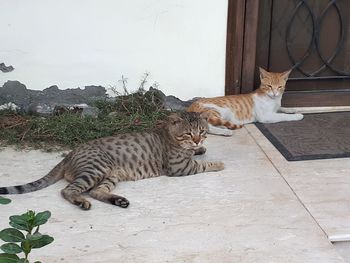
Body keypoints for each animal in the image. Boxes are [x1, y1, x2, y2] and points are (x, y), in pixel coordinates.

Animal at [0, 112, 224, 211]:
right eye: (188, 133)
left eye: (202, 131)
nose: (197, 140)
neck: (169, 134)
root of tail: (69, 154)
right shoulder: (180, 167)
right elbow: (202, 164)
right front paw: (218, 163)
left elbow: (197, 154)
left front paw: (201, 149)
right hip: (96, 169)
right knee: (68, 190)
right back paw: (82, 202)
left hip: (110, 175)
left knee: (96, 191)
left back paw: (119, 200)